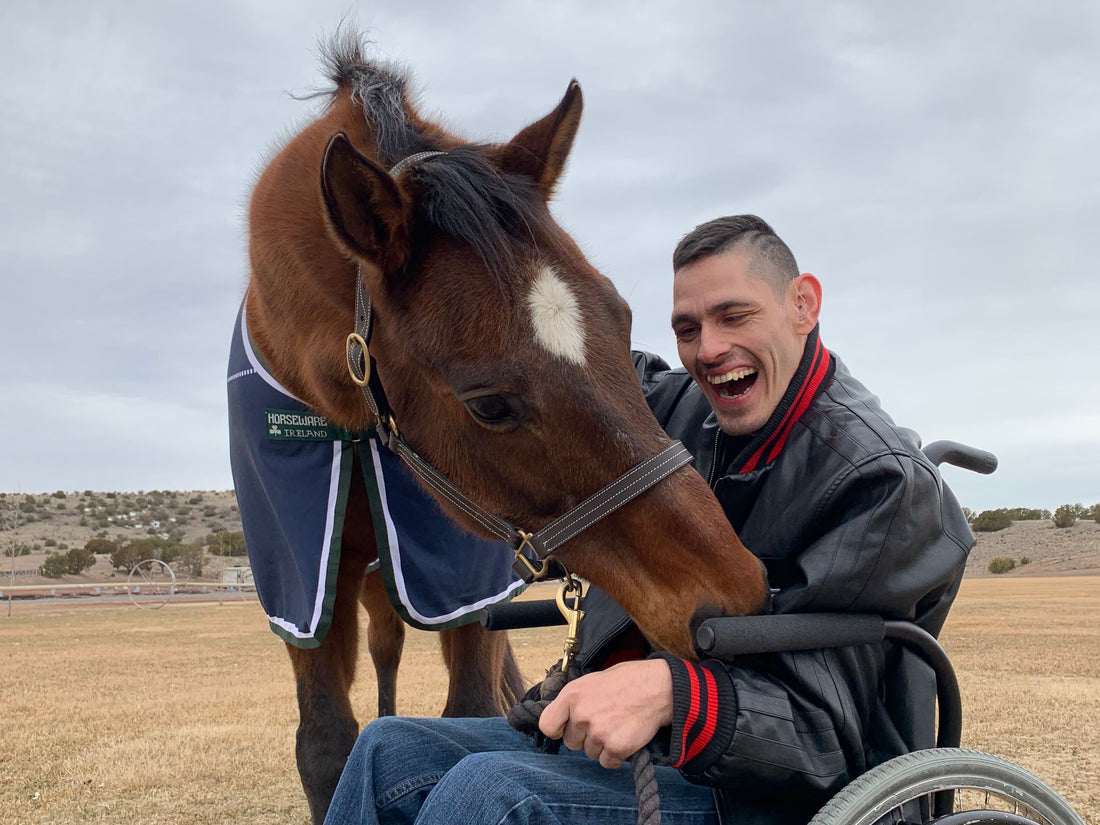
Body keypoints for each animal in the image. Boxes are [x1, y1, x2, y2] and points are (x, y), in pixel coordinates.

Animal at [246, 29, 770, 822]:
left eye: (623, 321)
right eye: (488, 404)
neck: (352, 417)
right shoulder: (305, 584)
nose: (735, 591)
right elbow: (326, 745)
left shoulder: (461, 586)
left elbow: (469, 708)